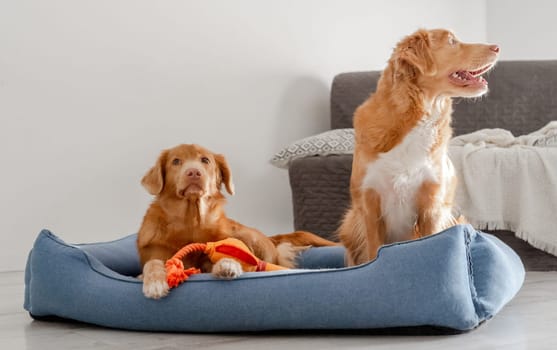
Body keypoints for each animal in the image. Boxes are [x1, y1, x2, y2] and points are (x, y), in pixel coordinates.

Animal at [138, 142, 334, 298]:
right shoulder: (155, 254)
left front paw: (227, 264)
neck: (191, 222)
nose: (193, 172)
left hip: (247, 236)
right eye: (176, 161)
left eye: (205, 160)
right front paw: (155, 282)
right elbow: (152, 263)